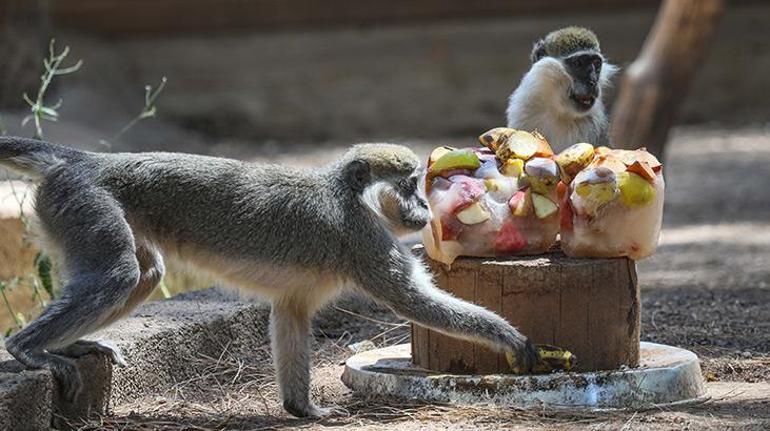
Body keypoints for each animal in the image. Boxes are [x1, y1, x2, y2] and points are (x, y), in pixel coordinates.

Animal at [1, 138, 540, 418]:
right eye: (409, 185)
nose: (424, 209)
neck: (351, 196)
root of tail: (83, 160)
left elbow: (291, 314)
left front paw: (303, 410)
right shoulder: (363, 239)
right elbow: (412, 301)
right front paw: (509, 337)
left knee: (144, 275)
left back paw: (63, 344)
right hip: (85, 201)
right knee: (120, 274)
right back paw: (26, 348)